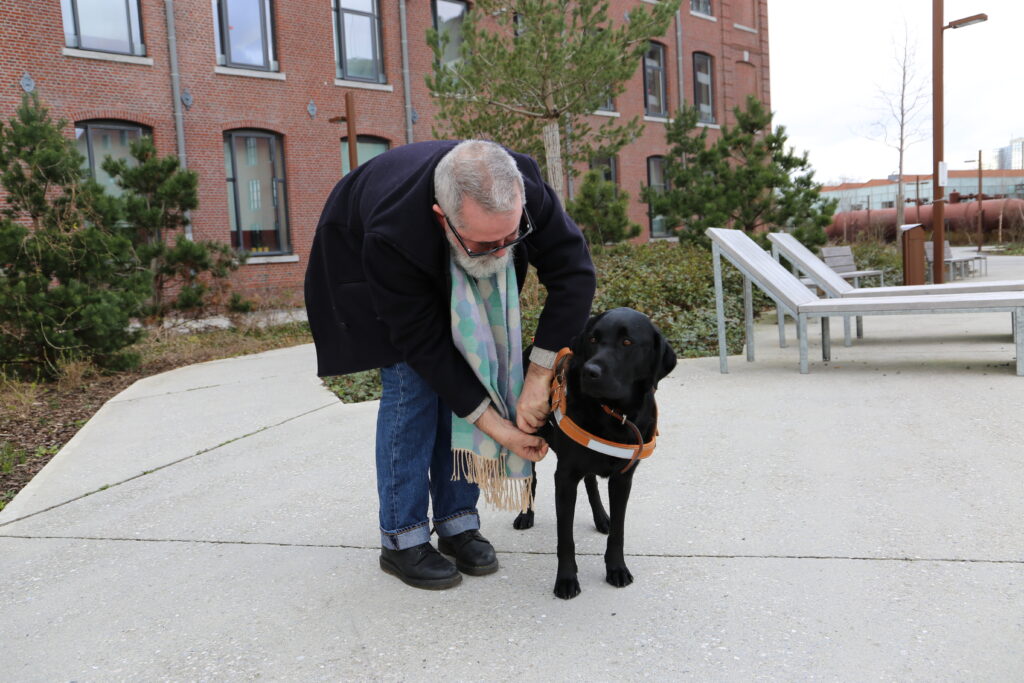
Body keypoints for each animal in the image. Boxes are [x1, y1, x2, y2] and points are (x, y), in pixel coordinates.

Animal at [516, 307, 675, 602]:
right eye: (592, 339)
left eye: (627, 342)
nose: (590, 371)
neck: (613, 414)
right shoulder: (565, 478)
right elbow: (565, 537)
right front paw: (566, 579)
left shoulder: (623, 478)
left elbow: (619, 532)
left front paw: (617, 568)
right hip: (528, 432)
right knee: (531, 477)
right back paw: (525, 515)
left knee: (590, 481)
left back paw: (601, 517)